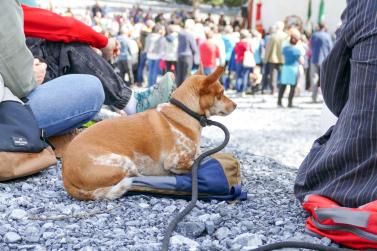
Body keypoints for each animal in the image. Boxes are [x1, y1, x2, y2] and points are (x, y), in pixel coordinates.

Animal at [62, 66, 235, 200]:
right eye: (221, 92)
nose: (235, 105)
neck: (183, 112)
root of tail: (65, 175)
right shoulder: (175, 161)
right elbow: (197, 161)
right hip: (125, 163)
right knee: (137, 178)